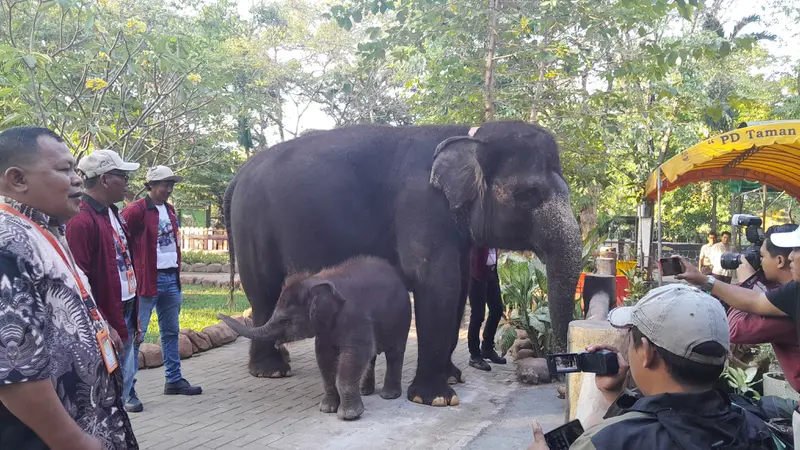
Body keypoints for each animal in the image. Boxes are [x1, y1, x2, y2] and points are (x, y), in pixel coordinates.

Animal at [217, 256, 410, 422]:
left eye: (285, 321)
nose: (219, 314)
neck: (318, 281)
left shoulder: (356, 319)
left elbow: (354, 355)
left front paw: (349, 415)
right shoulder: (324, 330)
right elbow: (324, 358)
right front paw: (327, 409)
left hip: (402, 319)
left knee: (394, 353)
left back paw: (389, 395)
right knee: (373, 356)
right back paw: (365, 391)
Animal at [225, 121, 580, 406]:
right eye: (528, 194)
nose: (561, 388)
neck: (469, 133)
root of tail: (239, 173)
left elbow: (459, 287)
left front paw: (452, 378)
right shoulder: (421, 207)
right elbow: (437, 284)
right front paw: (435, 399)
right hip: (252, 226)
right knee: (263, 291)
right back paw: (271, 371)